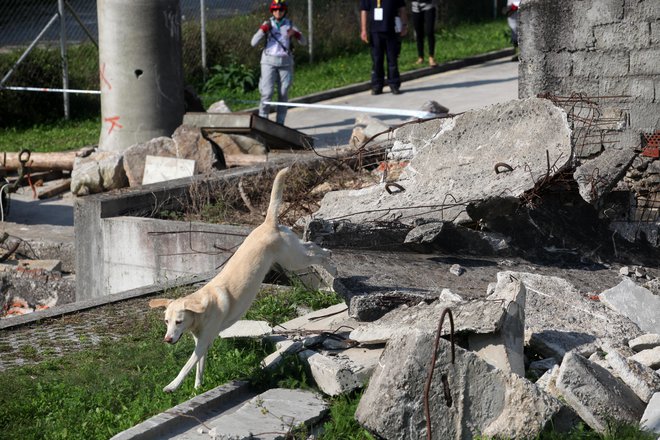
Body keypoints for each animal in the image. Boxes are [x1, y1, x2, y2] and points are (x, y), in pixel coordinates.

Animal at [152, 168, 332, 392]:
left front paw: (172, 386)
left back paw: (330, 266)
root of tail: (268, 223)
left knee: (317, 256)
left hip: (293, 260)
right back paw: (328, 256)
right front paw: (197, 387)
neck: (202, 308)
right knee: (312, 246)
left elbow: (187, 365)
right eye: (166, 322)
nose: (167, 339)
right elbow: (199, 366)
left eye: (179, 321)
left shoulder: (202, 342)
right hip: (294, 251)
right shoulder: (202, 341)